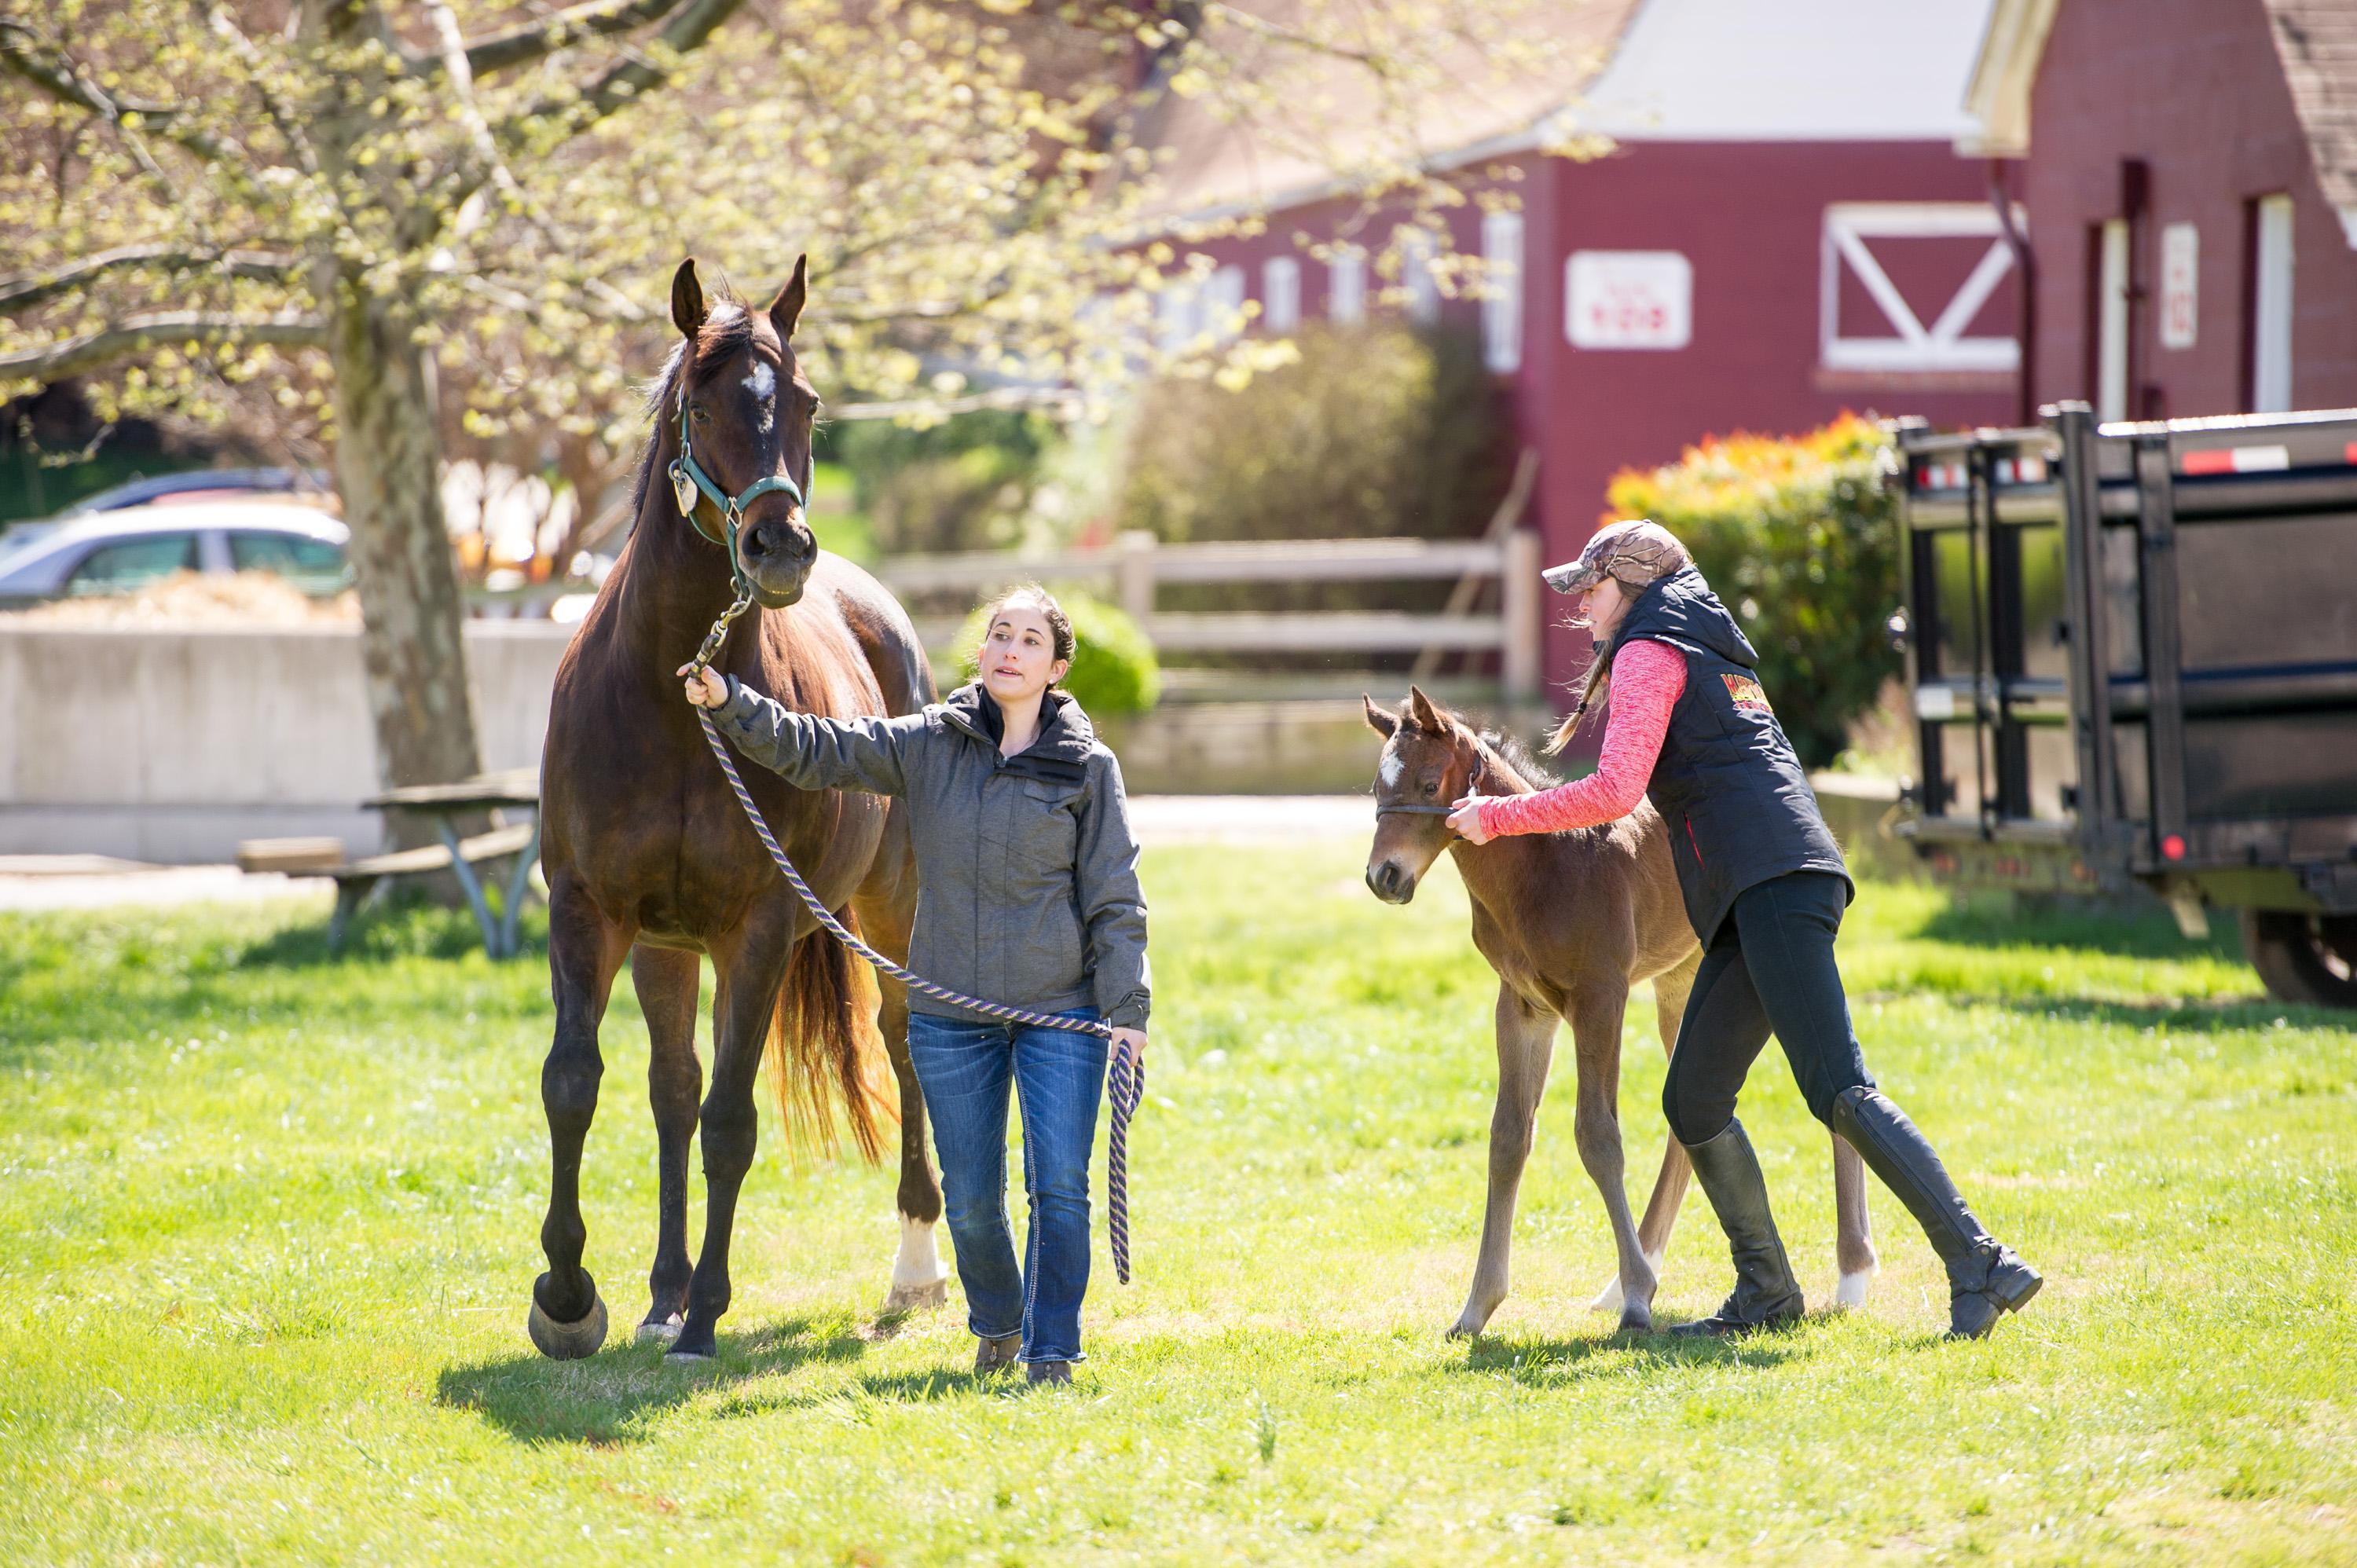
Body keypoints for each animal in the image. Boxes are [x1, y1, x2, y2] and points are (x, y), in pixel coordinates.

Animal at [528, 257, 948, 1357]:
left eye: (804, 402)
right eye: (702, 403)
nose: (779, 546)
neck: (676, 697)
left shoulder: (756, 928)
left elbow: (731, 1120)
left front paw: (708, 1311)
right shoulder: (593, 912)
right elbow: (578, 1082)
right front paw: (570, 1294)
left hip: (891, 911)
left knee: (905, 1042)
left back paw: (916, 1267)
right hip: (668, 949)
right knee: (671, 1090)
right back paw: (662, 1291)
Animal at [1367, 683, 1876, 1329]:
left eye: (1430, 784)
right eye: (1377, 788)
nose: (1383, 876)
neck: (1543, 867)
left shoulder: (1600, 998)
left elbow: (1598, 1138)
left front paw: (1637, 1301)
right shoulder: (1522, 1007)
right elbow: (1508, 1138)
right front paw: (1478, 1307)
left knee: (1828, 1081)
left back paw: (1852, 1276)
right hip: (1683, 988)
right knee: (1692, 1113)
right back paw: (1628, 1278)